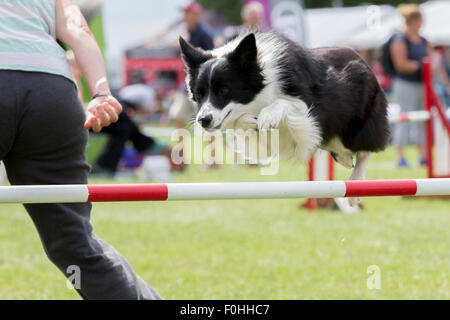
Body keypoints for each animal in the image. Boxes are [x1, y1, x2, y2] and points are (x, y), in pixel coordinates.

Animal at [179, 31, 390, 205]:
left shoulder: (308, 111)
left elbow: (284, 104)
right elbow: (242, 124)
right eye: (198, 94)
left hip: (356, 127)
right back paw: (345, 159)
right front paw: (249, 121)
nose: (203, 120)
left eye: (224, 90)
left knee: (366, 149)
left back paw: (355, 185)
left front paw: (266, 116)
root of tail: (360, 58)